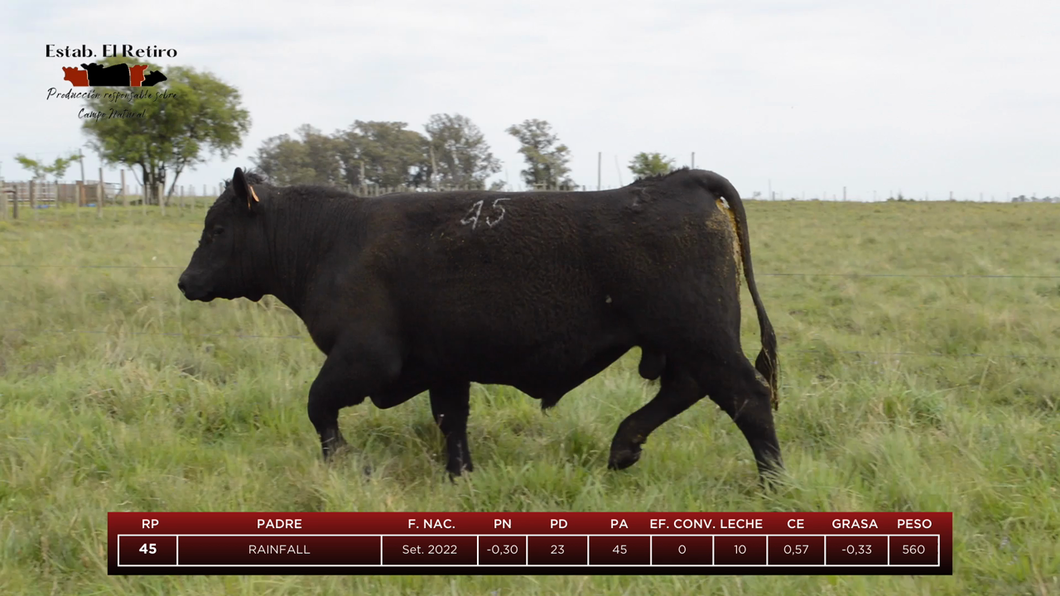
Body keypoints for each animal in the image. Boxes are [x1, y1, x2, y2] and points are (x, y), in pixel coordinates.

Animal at [178, 167, 784, 483]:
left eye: (218, 229)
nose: (186, 281)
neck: (330, 239)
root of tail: (679, 179)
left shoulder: (365, 356)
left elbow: (317, 404)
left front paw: (343, 465)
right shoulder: (443, 364)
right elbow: (452, 421)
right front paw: (460, 476)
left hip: (703, 337)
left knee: (748, 397)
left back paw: (771, 486)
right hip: (685, 341)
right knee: (688, 390)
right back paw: (622, 448)